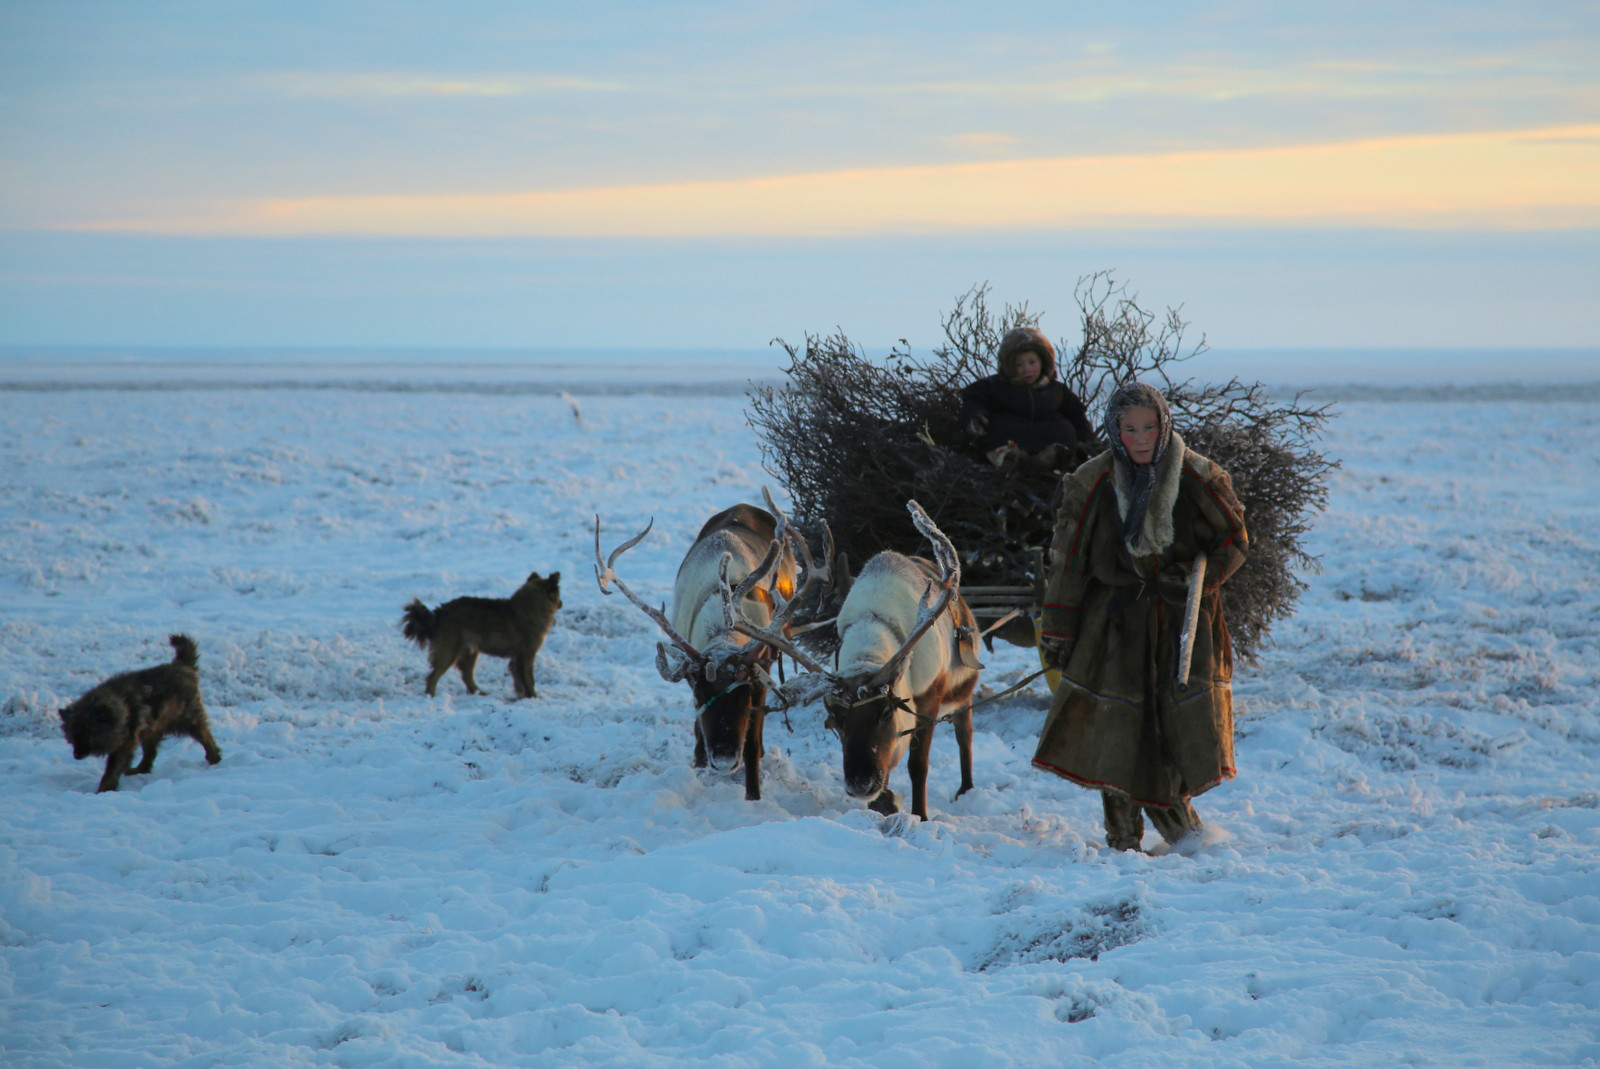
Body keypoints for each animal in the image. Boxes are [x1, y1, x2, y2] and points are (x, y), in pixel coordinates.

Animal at [58, 633, 222, 793]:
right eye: (72, 736)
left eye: (88, 735)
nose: (76, 755)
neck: (119, 708)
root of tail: (182, 666)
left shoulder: (125, 744)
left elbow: (112, 770)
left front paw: (104, 790)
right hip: (151, 730)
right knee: (150, 754)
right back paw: (140, 770)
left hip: (186, 719)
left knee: (206, 737)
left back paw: (214, 759)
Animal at [400, 566, 563, 700]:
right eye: (558, 594)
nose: (561, 603)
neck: (531, 608)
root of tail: (437, 614)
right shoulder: (526, 655)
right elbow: (529, 679)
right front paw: (533, 697)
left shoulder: (516, 658)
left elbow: (519, 681)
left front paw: (522, 696)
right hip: (449, 652)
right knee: (433, 677)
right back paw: (431, 697)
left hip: (470, 651)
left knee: (467, 676)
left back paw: (480, 693)